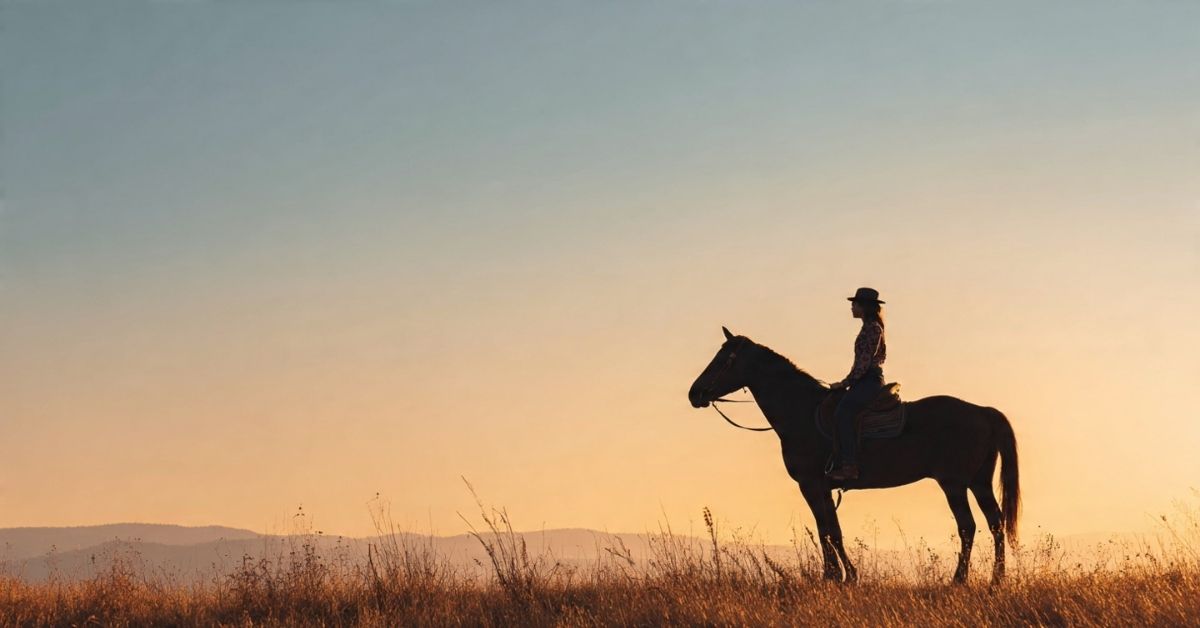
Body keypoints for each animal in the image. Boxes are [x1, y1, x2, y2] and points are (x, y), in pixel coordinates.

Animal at [686, 327, 1020, 584]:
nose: (695, 393)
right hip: (978, 482)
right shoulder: (822, 487)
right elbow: (832, 530)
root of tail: (983, 411)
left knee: (968, 526)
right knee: (996, 524)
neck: (801, 411)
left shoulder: (810, 485)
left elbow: (827, 532)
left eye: (722, 360)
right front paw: (845, 576)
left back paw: (958, 580)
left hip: (954, 483)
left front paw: (835, 576)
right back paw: (997, 580)